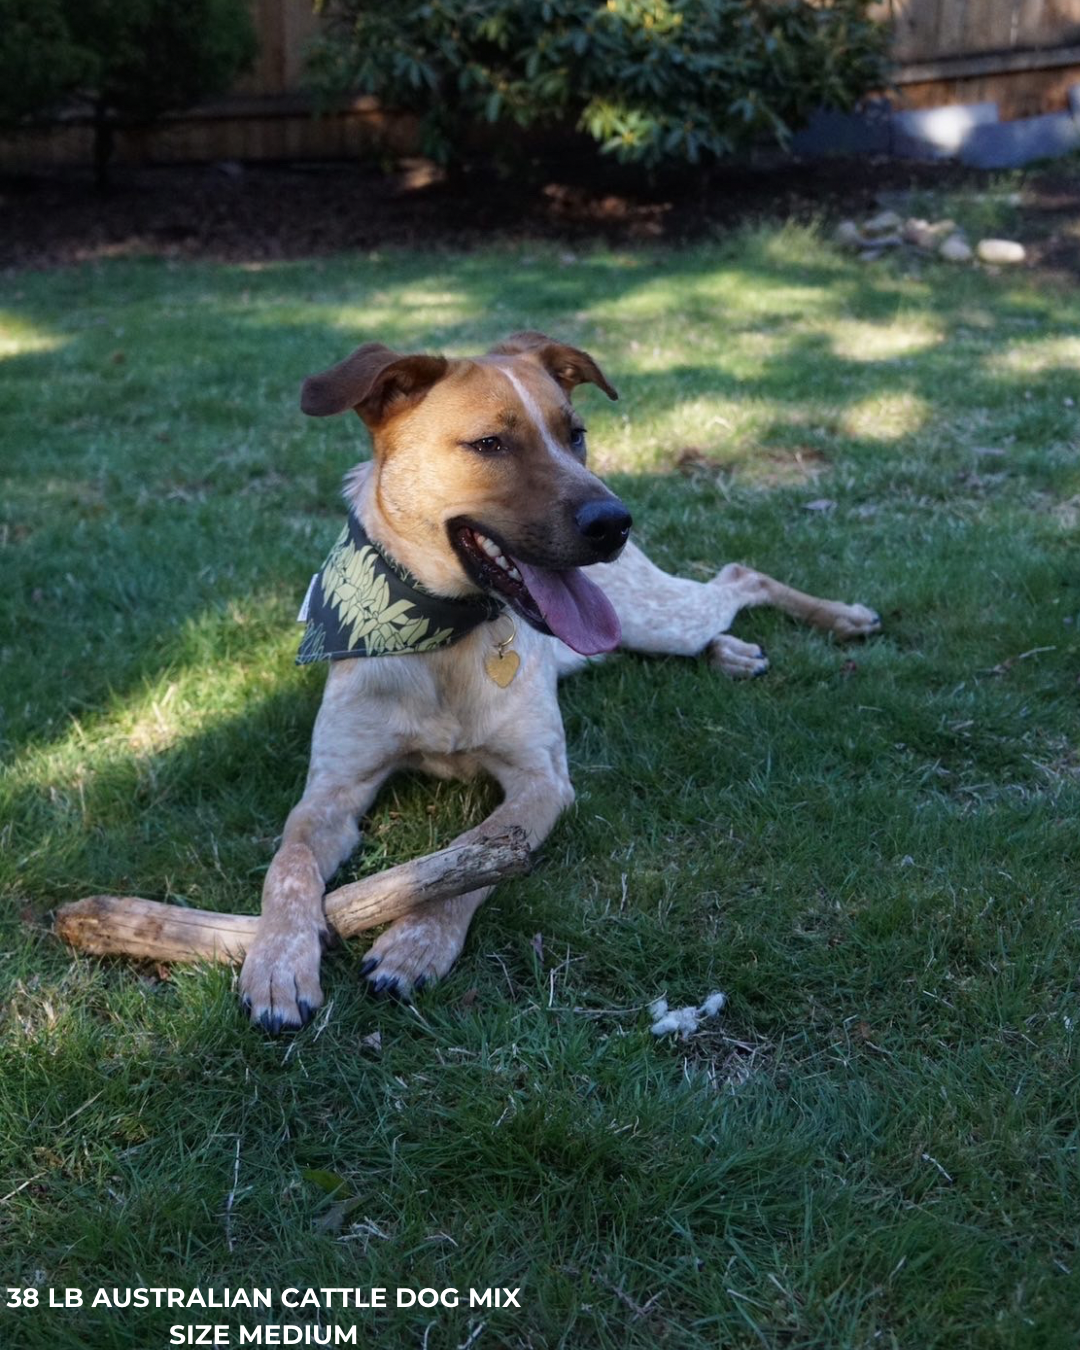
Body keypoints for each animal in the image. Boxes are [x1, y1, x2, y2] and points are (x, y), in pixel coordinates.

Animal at [240, 332, 880, 1026]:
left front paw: (417, 941)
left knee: (740, 577)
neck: (446, 637)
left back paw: (840, 617)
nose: (614, 522)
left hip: (660, 616)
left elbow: (475, 850)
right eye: (490, 443)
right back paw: (730, 652)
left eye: (576, 434)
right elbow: (289, 863)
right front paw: (276, 964)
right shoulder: (332, 789)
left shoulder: (541, 780)